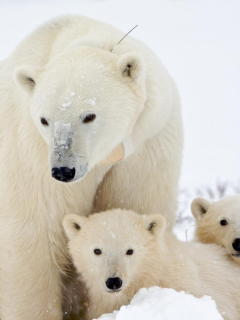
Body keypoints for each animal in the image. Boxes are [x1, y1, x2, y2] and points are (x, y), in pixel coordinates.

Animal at [0, 15, 182, 320]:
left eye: (89, 115)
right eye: (44, 119)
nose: (63, 170)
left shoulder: (145, 148)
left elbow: (134, 206)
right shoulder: (33, 155)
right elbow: (34, 242)